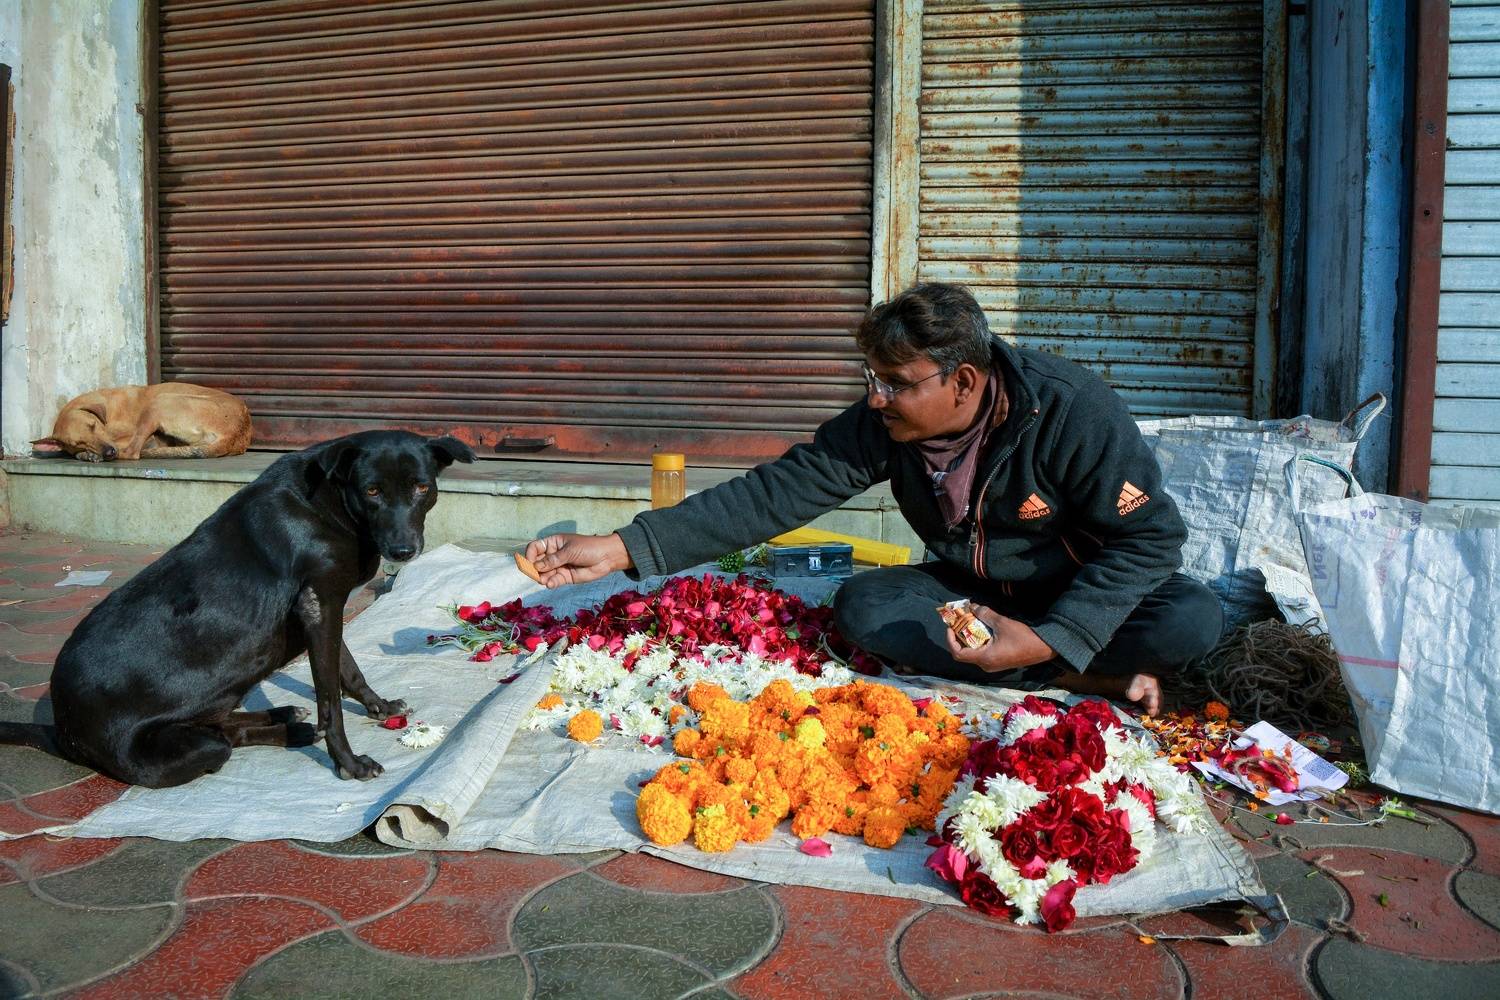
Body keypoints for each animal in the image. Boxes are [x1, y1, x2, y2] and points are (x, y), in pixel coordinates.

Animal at [0, 430, 475, 787]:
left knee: (224, 725)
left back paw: (288, 717)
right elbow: (330, 702)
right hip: (182, 750)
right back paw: (289, 727)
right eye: (372, 491)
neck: (328, 502)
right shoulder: (320, 605)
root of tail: (62, 728)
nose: (403, 550)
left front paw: (378, 706)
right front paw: (349, 763)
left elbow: (348, 671)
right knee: (225, 738)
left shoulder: (321, 610)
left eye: (421, 487)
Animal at [32, 383, 253, 462]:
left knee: (132, 453)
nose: (108, 452)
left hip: (160, 402)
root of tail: (237, 434)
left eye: (93, 426)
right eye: (78, 442)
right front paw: (86, 453)